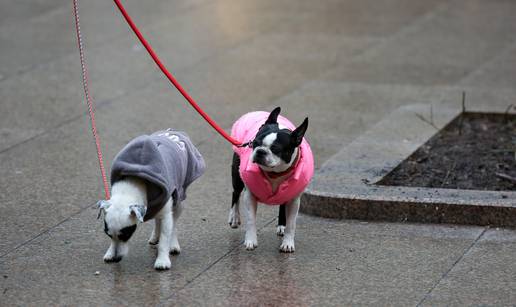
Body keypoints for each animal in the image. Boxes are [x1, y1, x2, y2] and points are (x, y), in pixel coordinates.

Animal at [228, 108, 312, 253]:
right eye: (255, 143)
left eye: (276, 149)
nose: (260, 151)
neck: (275, 174)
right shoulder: (250, 196)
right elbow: (251, 220)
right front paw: (250, 240)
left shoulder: (294, 200)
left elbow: (291, 224)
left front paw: (288, 243)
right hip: (237, 175)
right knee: (235, 193)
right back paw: (234, 217)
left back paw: (281, 225)